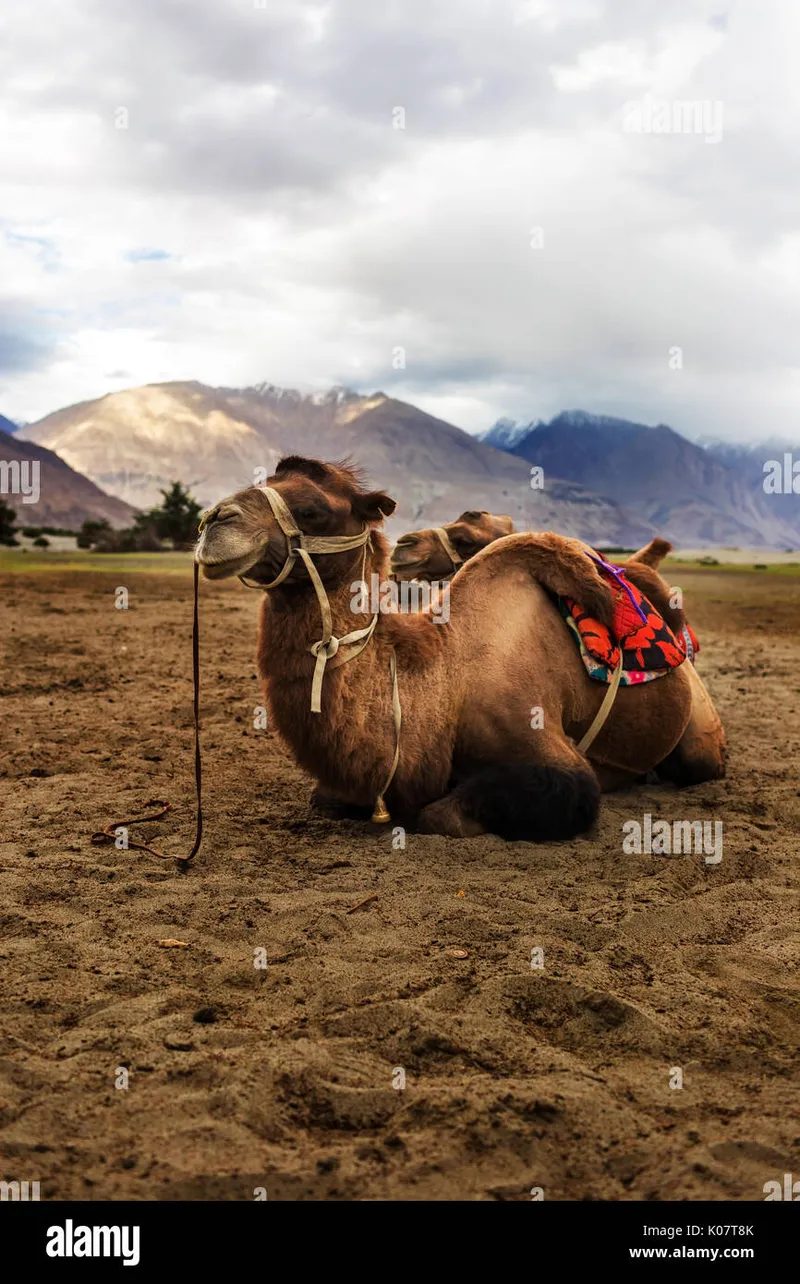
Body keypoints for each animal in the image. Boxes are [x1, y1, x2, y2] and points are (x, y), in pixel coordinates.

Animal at [197, 459, 729, 842]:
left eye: (312, 510)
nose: (212, 520)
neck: (442, 681)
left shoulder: (554, 757)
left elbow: (440, 816)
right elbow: (325, 799)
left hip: (700, 736)